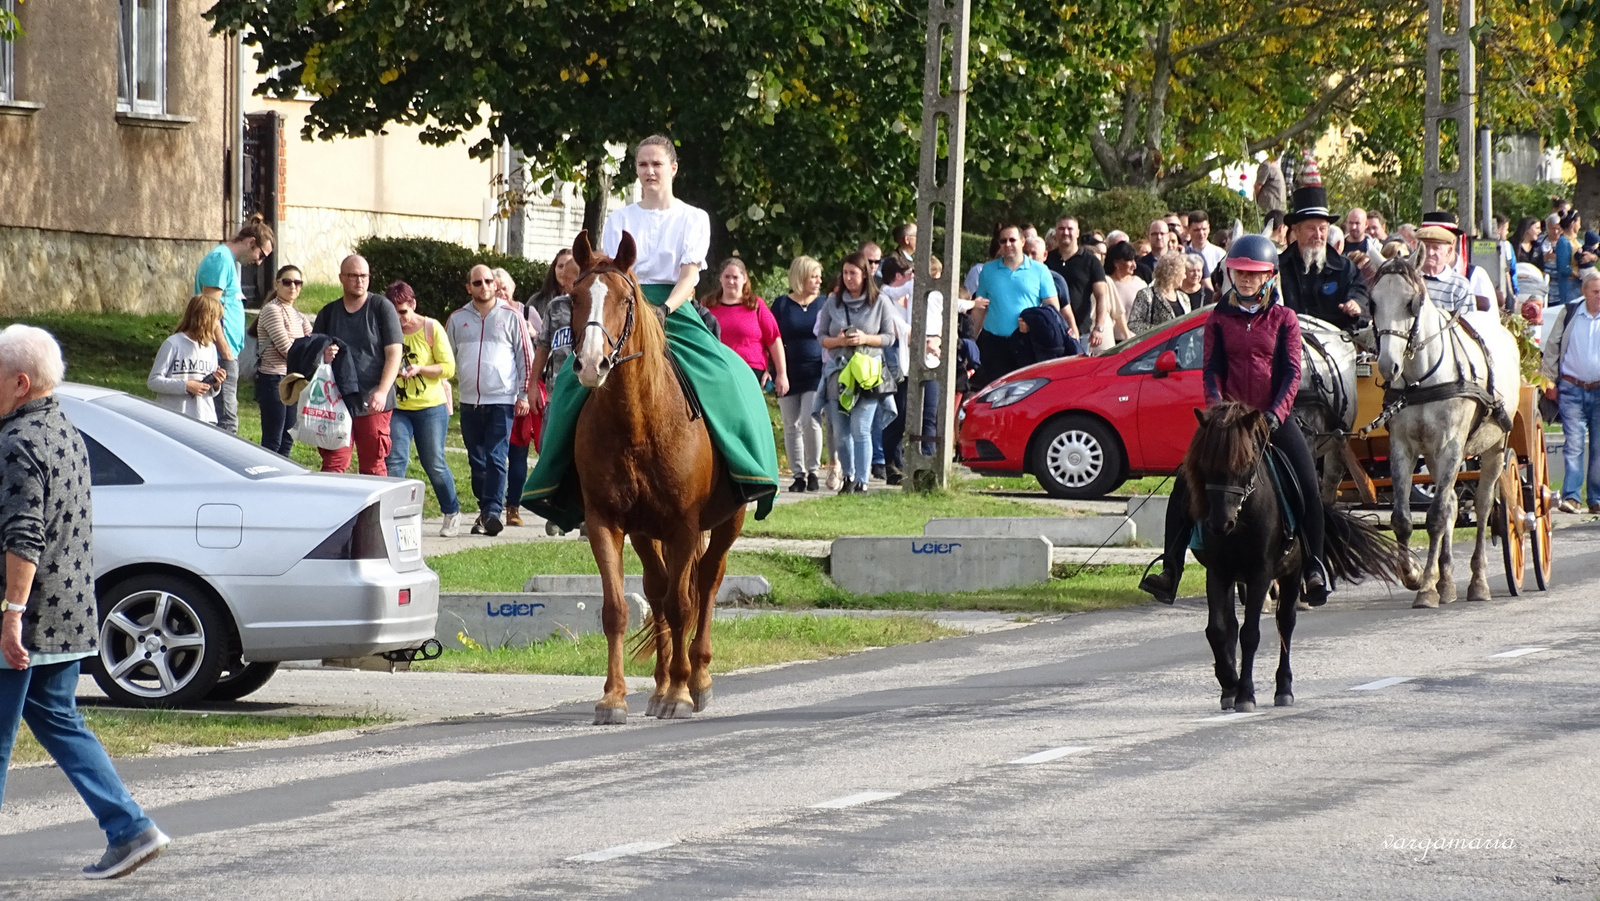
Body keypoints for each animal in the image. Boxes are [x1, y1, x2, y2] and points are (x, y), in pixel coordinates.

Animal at [566, 232, 745, 726]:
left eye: (626, 299)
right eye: (573, 297)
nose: (592, 363)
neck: (638, 423)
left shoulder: (684, 525)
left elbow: (684, 605)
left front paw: (682, 693)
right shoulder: (605, 521)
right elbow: (617, 609)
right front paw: (613, 698)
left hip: (728, 522)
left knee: (706, 582)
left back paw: (696, 678)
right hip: (647, 533)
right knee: (658, 589)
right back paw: (662, 683)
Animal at [1184, 406, 1408, 713]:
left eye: (1245, 466)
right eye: (1204, 464)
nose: (1220, 523)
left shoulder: (1261, 572)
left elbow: (1250, 634)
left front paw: (1245, 694)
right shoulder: (1218, 571)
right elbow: (1218, 630)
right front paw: (1229, 684)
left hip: (1291, 572)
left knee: (1285, 623)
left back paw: (1284, 689)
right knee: (1233, 624)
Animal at [1369, 256, 1516, 604]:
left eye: (1413, 302)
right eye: (1372, 302)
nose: (1388, 366)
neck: (1422, 380)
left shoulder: (1451, 445)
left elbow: (1435, 517)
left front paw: (1425, 589)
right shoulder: (1403, 447)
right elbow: (1403, 519)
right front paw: (1414, 574)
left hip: (1493, 449)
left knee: (1482, 505)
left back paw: (1477, 582)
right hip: (1438, 457)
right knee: (1449, 502)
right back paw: (1446, 580)